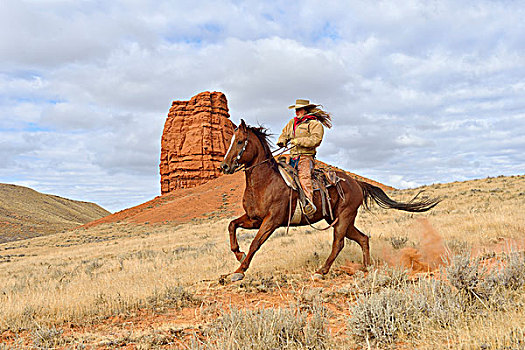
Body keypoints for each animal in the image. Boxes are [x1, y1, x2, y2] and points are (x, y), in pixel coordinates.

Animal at [219, 120, 440, 282]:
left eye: (240, 141)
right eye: (230, 140)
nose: (224, 166)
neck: (264, 182)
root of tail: (357, 183)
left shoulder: (272, 220)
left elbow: (255, 243)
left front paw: (239, 271)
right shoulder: (254, 219)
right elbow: (232, 225)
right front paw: (238, 255)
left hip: (343, 217)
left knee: (338, 243)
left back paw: (321, 271)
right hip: (340, 219)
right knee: (363, 238)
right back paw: (366, 267)